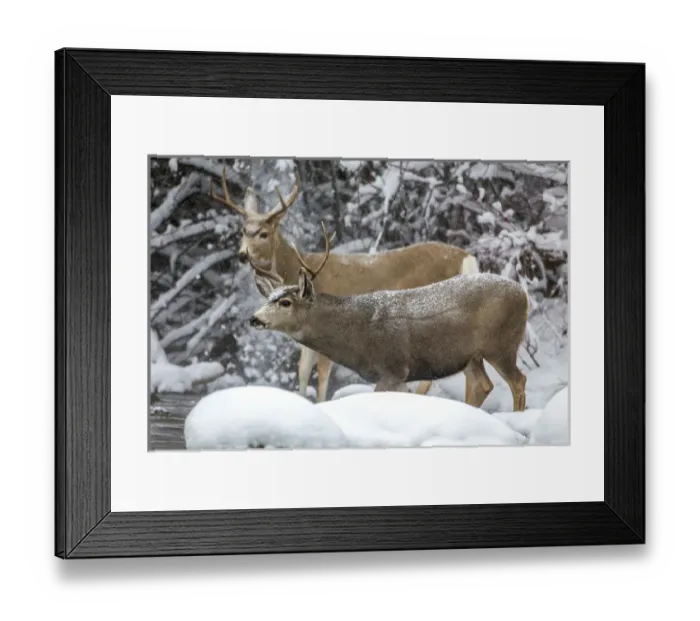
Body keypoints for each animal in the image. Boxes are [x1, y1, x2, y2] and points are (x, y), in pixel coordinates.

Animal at [210, 166, 487, 403]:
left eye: (263, 233)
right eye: (243, 230)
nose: (242, 254)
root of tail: (467, 257)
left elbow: (322, 375)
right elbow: (302, 371)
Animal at [247, 224, 530, 412]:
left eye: (285, 302)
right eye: (267, 299)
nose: (254, 319)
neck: (355, 335)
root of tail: (523, 294)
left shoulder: (392, 367)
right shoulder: (397, 375)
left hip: (501, 344)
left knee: (518, 380)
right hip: (471, 356)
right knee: (483, 385)